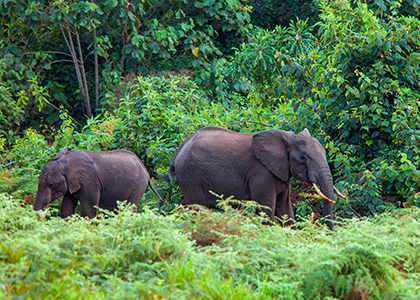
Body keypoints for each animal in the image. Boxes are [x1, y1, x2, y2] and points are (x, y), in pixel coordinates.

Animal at [34, 147, 162, 218]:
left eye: (51, 185)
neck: (66, 161)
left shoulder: (91, 181)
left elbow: (88, 209)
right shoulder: (72, 183)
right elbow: (66, 208)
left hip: (139, 184)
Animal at [167, 126, 344, 230]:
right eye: (302, 158)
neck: (286, 138)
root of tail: (178, 151)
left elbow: (285, 210)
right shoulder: (261, 172)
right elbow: (267, 209)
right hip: (190, 175)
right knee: (197, 209)